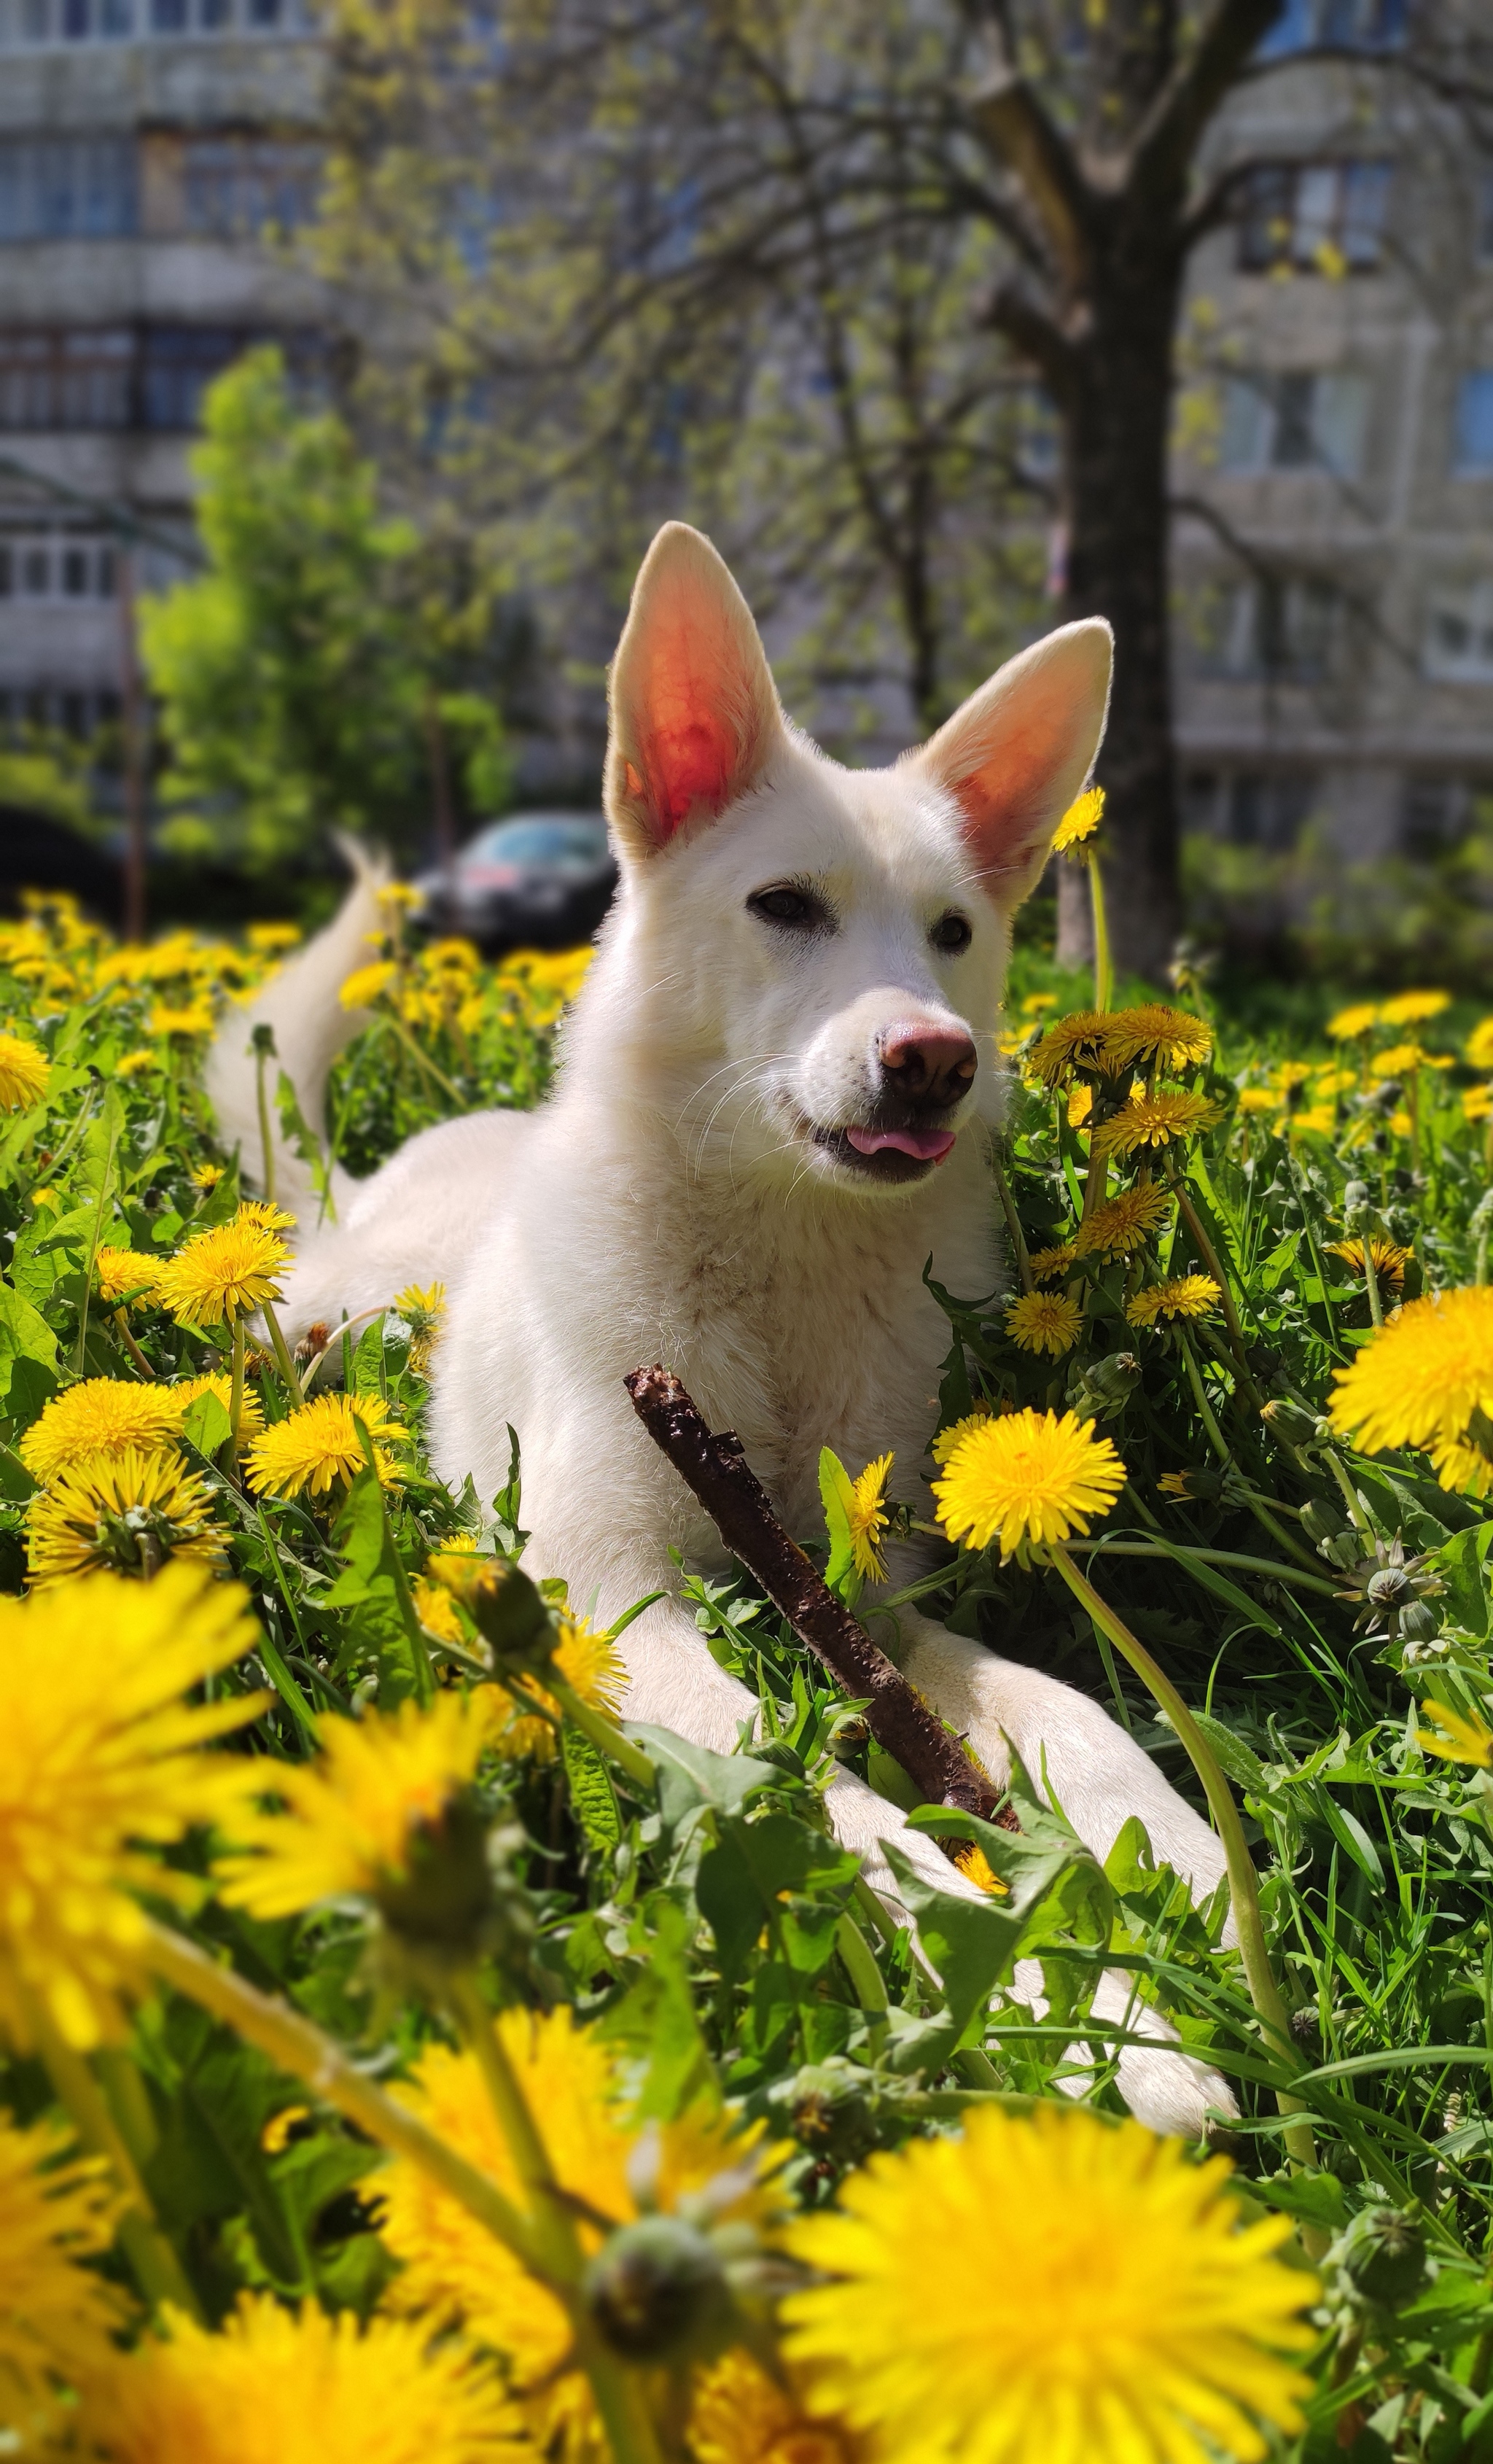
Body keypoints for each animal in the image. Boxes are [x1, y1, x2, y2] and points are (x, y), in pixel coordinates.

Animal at [213, 524, 1241, 2138]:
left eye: (954, 931)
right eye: (784, 906)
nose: (933, 1059)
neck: (778, 1263)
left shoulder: (865, 1595)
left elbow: (1049, 1692)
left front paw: (1174, 1839)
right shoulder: (612, 1598)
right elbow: (827, 1799)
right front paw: (1078, 2019)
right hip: (337, 1309)